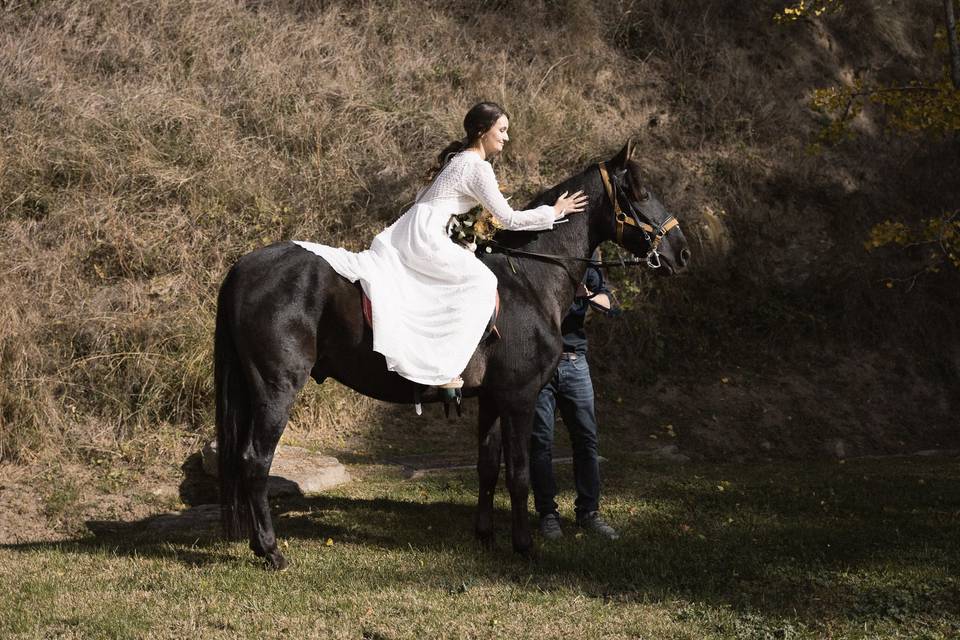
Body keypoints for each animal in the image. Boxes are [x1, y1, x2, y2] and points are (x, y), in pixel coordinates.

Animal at [214, 141, 688, 568]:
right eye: (641, 192)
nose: (681, 252)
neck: (528, 280)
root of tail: (244, 267)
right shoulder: (519, 398)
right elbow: (519, 473)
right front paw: (523, 546)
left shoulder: (493, 399)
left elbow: (488, 466)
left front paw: (486, 537)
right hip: (276, 390)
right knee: (255, 461)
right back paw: (271, 551)